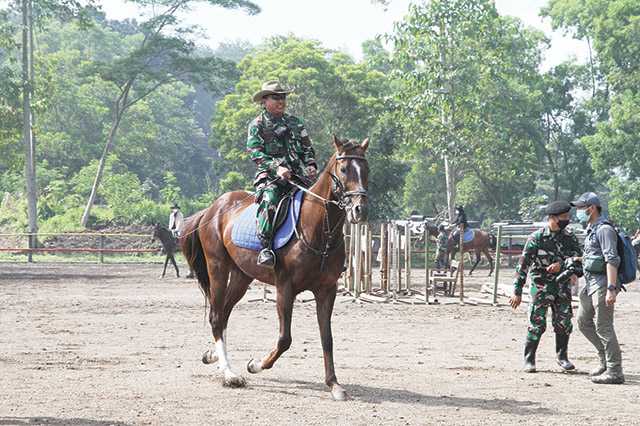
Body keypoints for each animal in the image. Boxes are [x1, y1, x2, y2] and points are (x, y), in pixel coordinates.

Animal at [181, 136, 370, 400]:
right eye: (343, 169)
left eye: (366, 169)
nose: (359, 209)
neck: (317, 229)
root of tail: (212, 209)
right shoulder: (285, 288)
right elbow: (284, 339)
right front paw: (255, 365)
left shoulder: (326, 290)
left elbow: (327, 338)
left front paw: (334, 385)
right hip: (217, 268)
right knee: (217, 316)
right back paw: (229, 374)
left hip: (241, 277)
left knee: (225, 312)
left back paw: (214, 356)